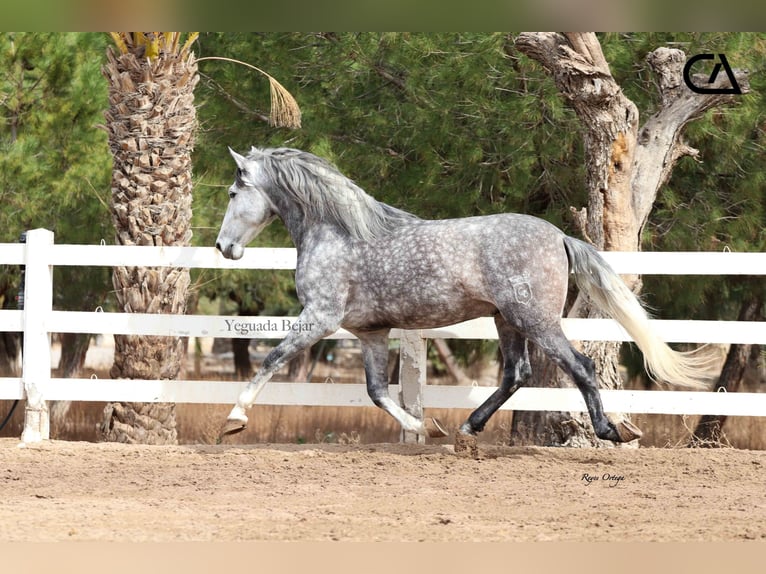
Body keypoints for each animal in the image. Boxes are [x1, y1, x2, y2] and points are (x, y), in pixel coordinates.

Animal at [216, 146, 712, 448]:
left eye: (234, 192)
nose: (224, 247)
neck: (338, 232)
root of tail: (559, 235)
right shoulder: (370, 332)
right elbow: (377, 392)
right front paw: (425, 427)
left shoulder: (319, 317)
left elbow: (271, 358)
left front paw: (234, 420)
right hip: (506, 320)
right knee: (517, 374)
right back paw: (466, 427)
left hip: (534, 319)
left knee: (580, 366)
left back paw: (610, 431)